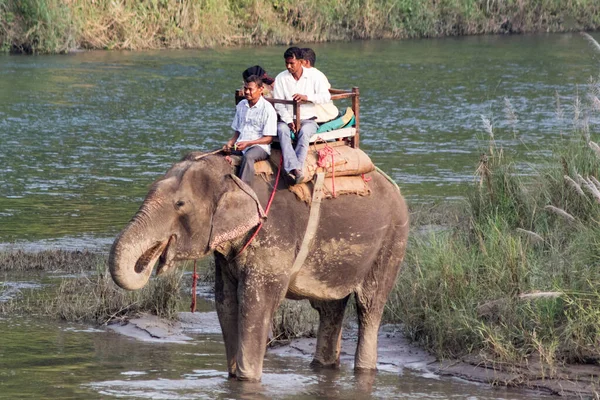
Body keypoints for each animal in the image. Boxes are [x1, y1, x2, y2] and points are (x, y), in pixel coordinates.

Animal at [108, 152, 410, 382]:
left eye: (180, 204)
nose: (153, 259)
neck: (231, 172)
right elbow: (226, 302)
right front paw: (232, 377)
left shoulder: (273, 236)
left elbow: (255, 303)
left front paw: (247, 380)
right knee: (330, 307)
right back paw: (323, 367)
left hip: (392, 239)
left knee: (369, 305)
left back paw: (364, 368)